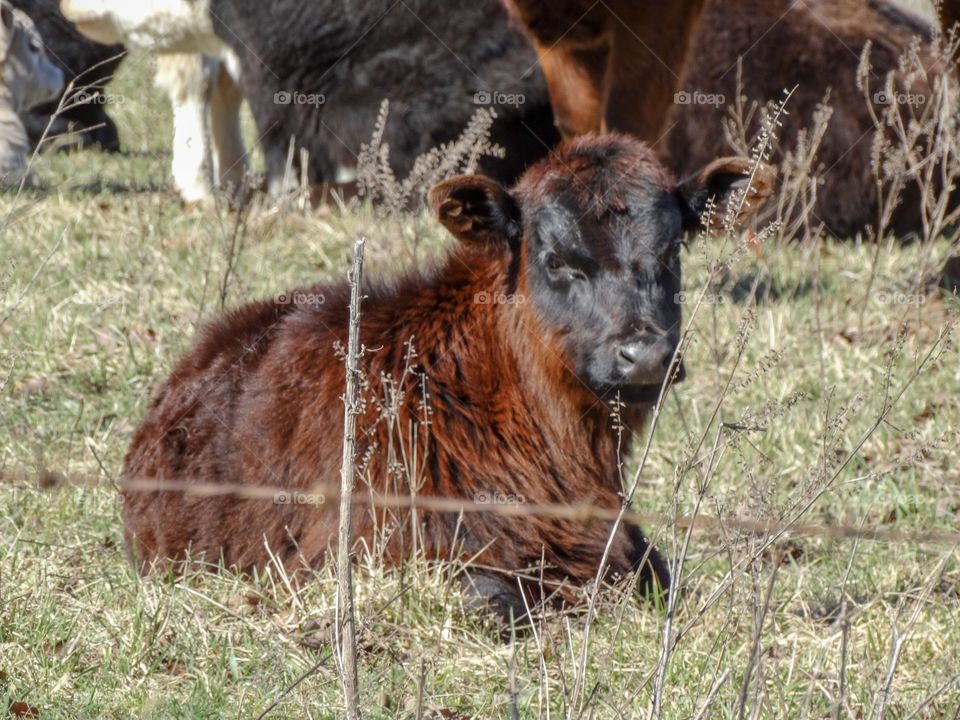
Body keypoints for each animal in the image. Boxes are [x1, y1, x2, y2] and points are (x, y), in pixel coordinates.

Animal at [119, 134, 773, 622]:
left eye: (672, 251)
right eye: (555, 259)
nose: (646, 354)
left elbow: (661, 578)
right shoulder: (368, 553)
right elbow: (500, 597)